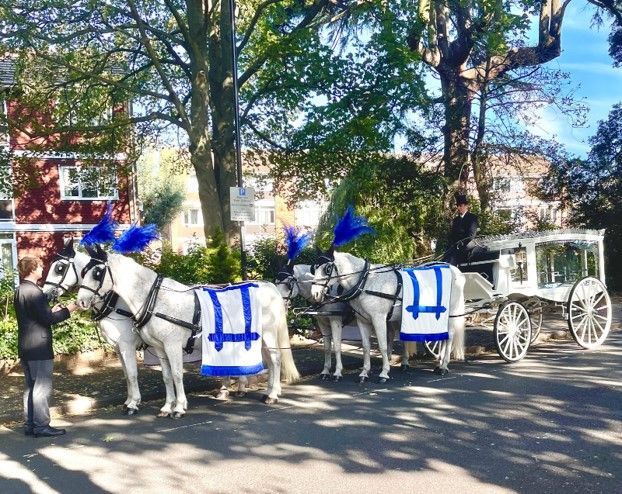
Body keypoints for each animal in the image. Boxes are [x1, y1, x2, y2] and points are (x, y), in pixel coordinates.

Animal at [44, 239, 144, 412]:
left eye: (59, 268)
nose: (45, 293)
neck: (115, 304)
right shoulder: (118, 346)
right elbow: (126, 374)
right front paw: (128, 400)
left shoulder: (127, 345)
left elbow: (132, 374)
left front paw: (134, 403)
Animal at [77, 247, 302, 416]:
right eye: (83, 272)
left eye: (97, 273)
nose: (81, 301)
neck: (156, 299)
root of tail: (270, 287)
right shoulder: (159, 348)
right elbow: (166, 376)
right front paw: (166, 407)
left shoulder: (170, 345)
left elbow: (176, 375)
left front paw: (178, 407)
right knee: (270, 361)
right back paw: (268, 391)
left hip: (269, 333)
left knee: (275, 359)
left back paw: (272, 395)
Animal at [312, 251, 468, 382]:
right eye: (314, 269)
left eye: (327, 269)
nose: (315, 294)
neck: (366, 281)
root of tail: (455, 270)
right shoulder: (363, 320)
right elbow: (366, 346)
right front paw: (364, 372)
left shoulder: (378, 318)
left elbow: (382, 346)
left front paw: (384, 373)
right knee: (442, 337)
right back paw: (438, 363)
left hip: (449, 313)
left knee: (449, 337)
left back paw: (444, 366)